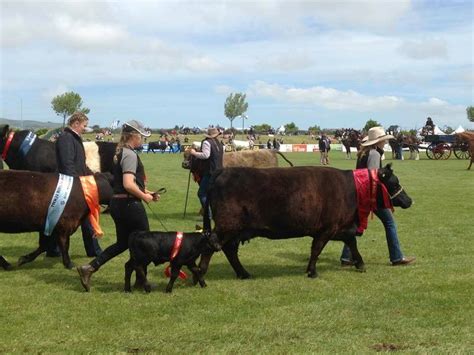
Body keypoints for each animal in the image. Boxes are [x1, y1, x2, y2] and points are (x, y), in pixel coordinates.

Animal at [202, 165, 412, 280]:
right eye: (394, 183)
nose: (409, 200)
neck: (351, 189)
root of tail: (222, 171)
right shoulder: (327, 229)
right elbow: (316, 250)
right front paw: (312, 271)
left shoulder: (340, 228)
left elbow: (352, 244)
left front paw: (360, 264)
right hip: (227, 226)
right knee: (212, 244)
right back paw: (202, 273)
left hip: (236, 230)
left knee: (229, 249)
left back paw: (243, 273)